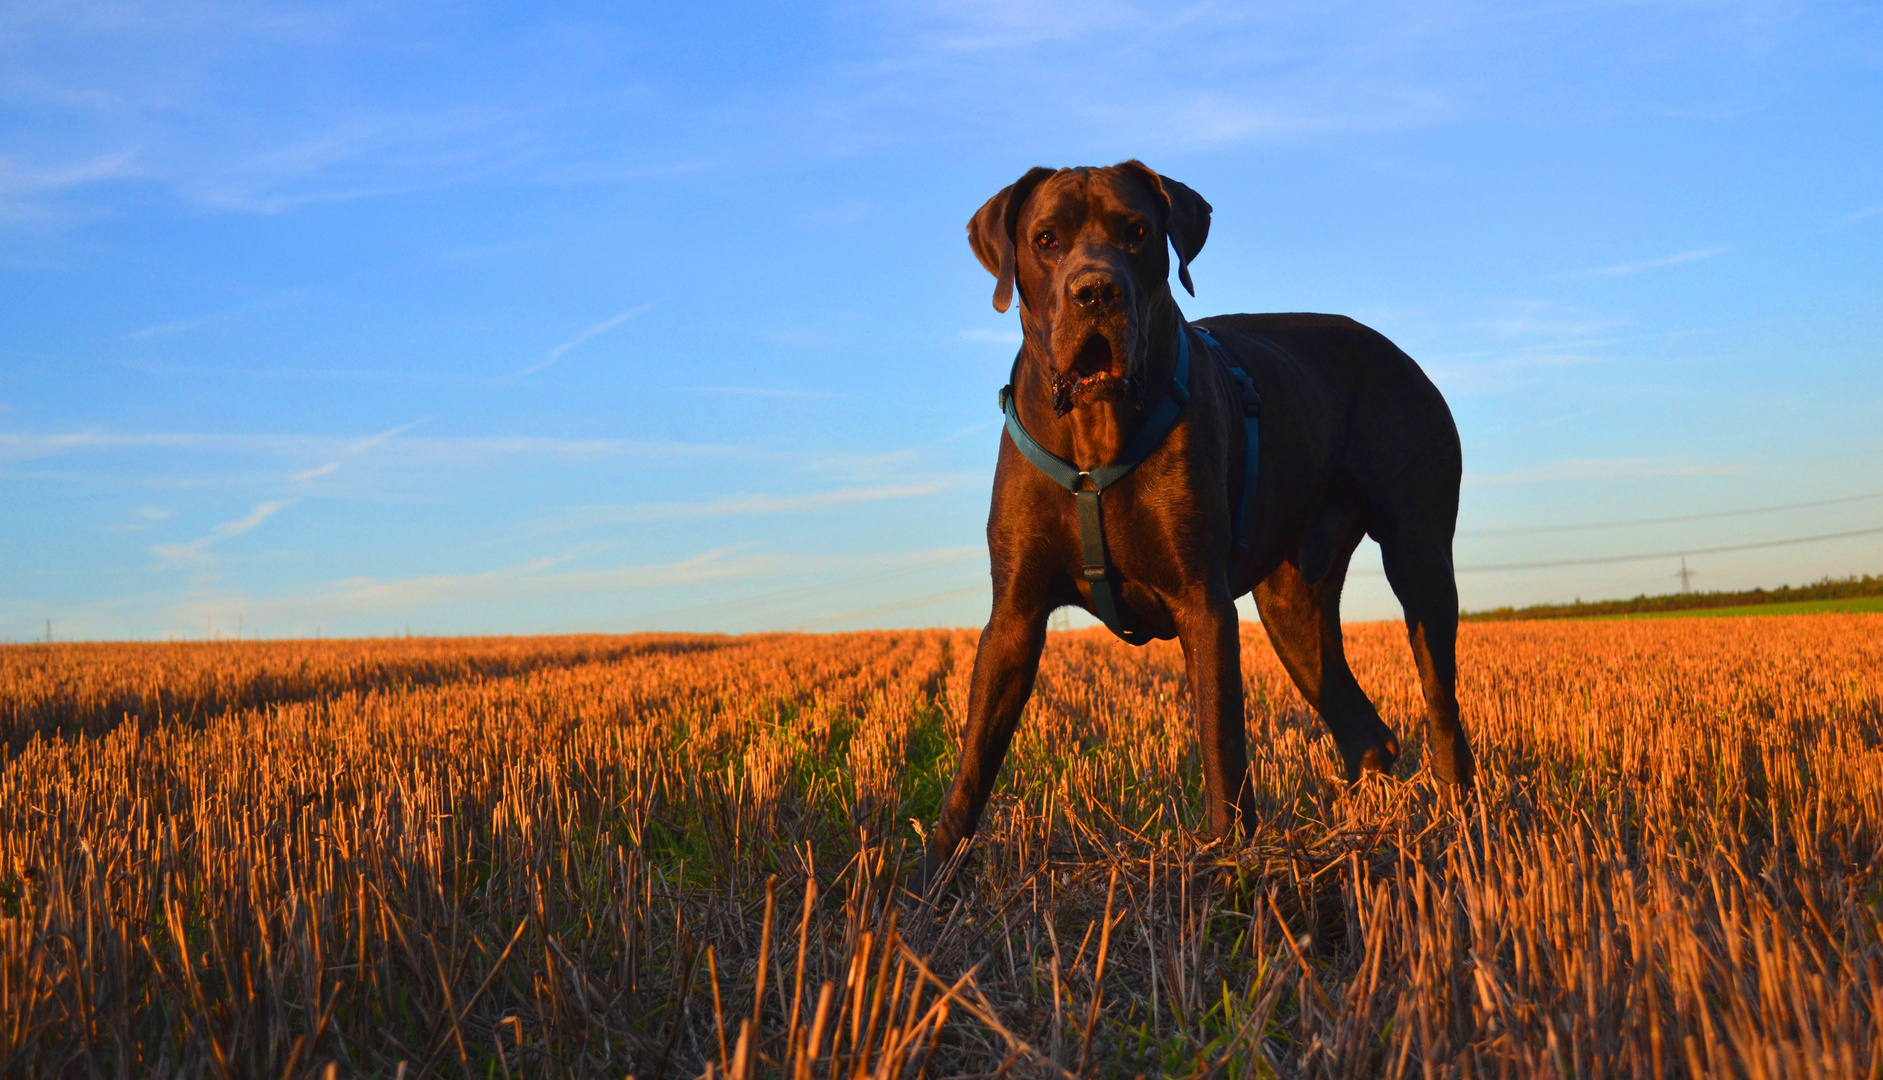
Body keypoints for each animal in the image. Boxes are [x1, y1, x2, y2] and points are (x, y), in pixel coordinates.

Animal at [918, 160, 1476, 888]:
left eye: (1135, 232)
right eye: (1045, 239)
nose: (1095, 290)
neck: (1096, 435)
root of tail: (1394, 349)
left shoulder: (1202, 605)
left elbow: (1221, 748)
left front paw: (1226, 863)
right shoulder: (1013, 616)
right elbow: (971, 765)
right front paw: (928, 883)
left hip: (1418, 557)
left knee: (1442, 713)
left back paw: (1456, 829)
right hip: (1292, 608)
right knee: (1367, 736)